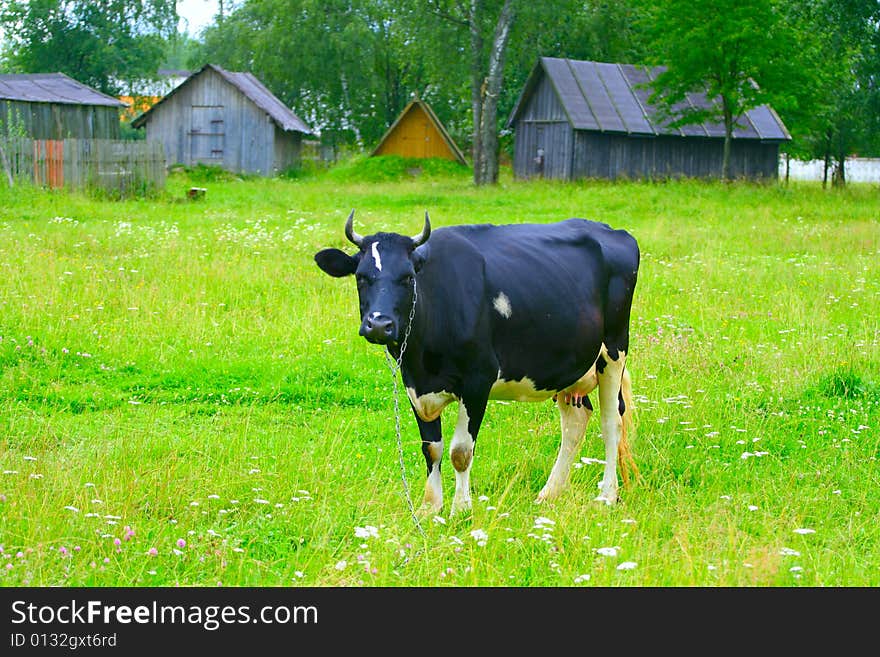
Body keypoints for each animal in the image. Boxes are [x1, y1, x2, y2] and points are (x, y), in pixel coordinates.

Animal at [314, 213, 640, 516]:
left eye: (408, 277)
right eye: (361, 277)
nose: (379, 325)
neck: (423, 360)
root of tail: (610, 230)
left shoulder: (477, 381)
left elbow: (460, 452)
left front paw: (461, 509)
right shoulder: (414, 386)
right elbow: (431, 449)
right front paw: (430, 508)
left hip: (613, 351)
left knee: (611, 422)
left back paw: (607, 495)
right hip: (567, 367)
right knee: (575, 421)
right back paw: (549, 493)